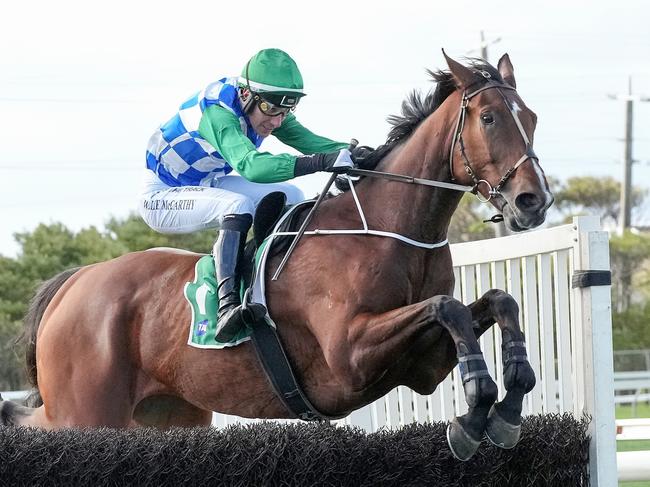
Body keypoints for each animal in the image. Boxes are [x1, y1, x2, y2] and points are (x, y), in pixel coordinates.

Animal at [2, 53, 556, 462]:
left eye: (531, 118)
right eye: (489, 118)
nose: (534, 201)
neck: (391, 232)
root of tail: (74, 283)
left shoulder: (421, 367)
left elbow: (497, 300)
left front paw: (504, 407)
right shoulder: (349, 355)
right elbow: (448, 306)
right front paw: (479, 407)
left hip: (168, 415)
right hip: (84, 413)